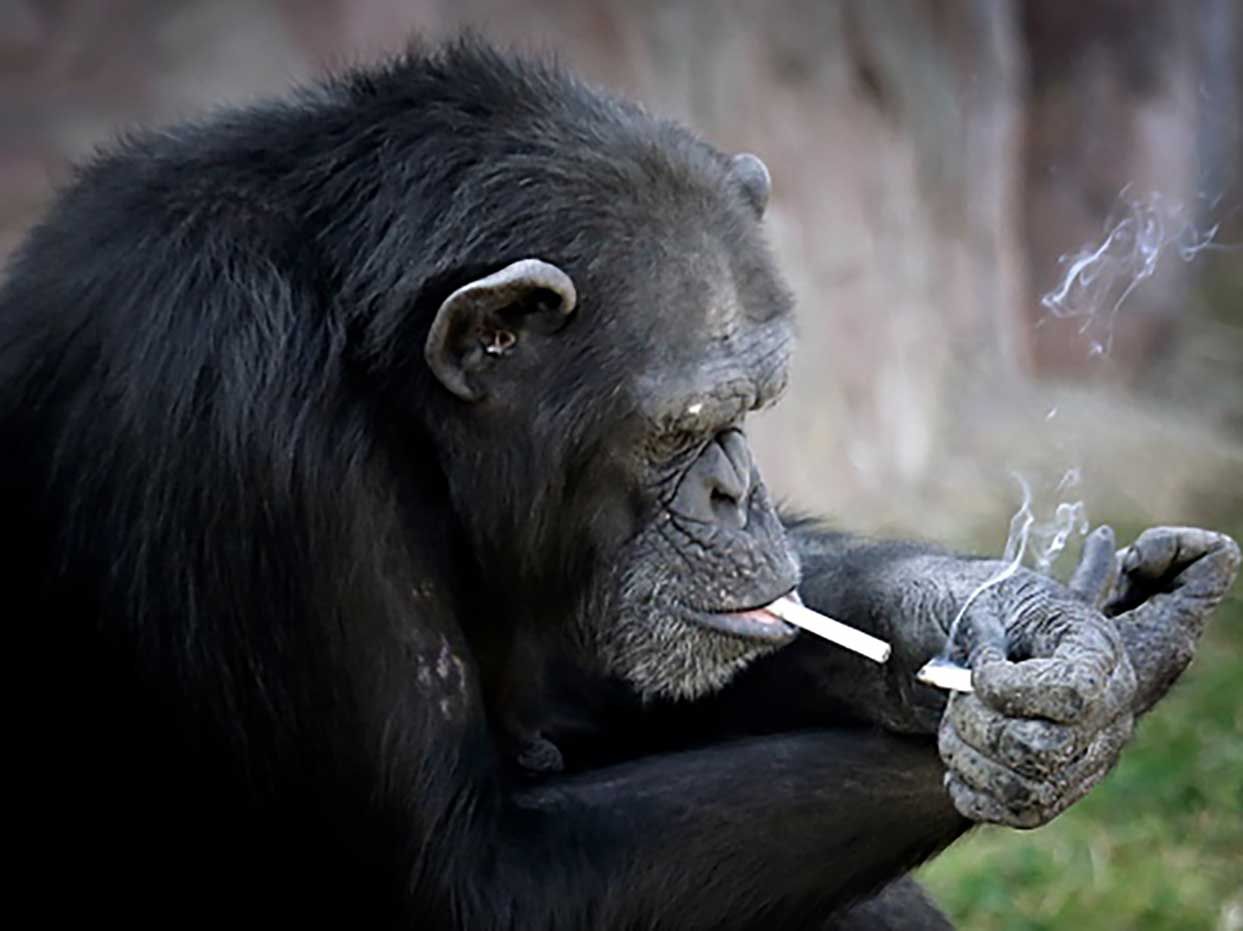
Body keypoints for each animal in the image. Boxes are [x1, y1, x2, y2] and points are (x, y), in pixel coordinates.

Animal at [4, 40, 1238, 924]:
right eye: (679, 427)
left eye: (753, 408)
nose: (738, 489)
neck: (370, 356)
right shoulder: (247, 430)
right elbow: (482, 876)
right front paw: (1116, 675)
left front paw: (1030, 631)